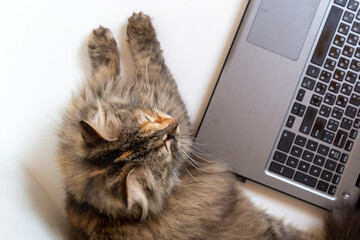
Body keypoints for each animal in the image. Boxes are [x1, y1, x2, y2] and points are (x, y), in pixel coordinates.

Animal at [57, 12, 360, 239]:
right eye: (165, 147)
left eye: (149, 119)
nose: (173, 124)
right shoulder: (176, 108)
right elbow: (149, 58)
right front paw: (139, 26)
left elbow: (108, 66)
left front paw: (102, 39)